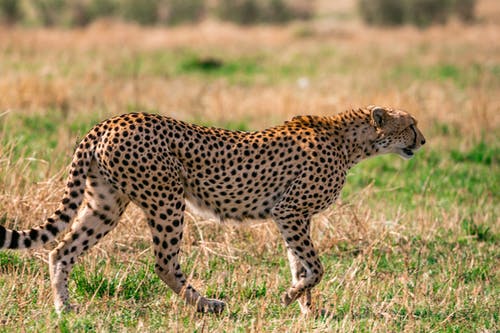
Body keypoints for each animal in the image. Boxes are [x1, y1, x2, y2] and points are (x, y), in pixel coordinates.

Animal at [0, 105, 424, 314]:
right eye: (411, 124)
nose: (422, 141)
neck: (351, 140)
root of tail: (109, 121)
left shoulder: (292, 216)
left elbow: (301, 265)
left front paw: (305, 308)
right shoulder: (290, 211)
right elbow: (315, 267)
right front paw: (292, 299)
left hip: (105, 204)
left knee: (61, 250)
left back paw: (64, 307)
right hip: (167, 199)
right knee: (164, 263)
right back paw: (207, 305)